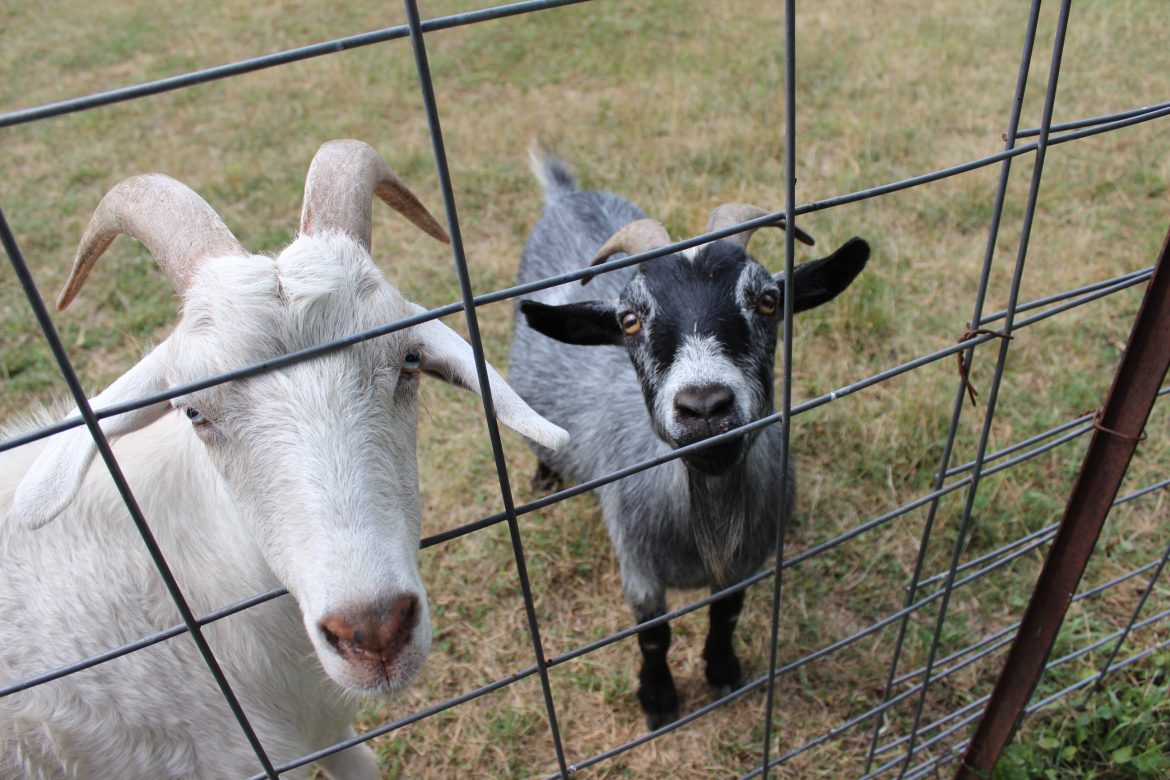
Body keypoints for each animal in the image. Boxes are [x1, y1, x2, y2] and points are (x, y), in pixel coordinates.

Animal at [512, 149, 870, 729]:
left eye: (769, 300)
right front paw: (659, 699)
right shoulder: (636, 563)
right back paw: (544, 477)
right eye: (628, 320)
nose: (704, 406)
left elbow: (726, 613)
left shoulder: (746, 561)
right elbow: (653, 636)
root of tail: (566, 195)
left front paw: (722, 669)